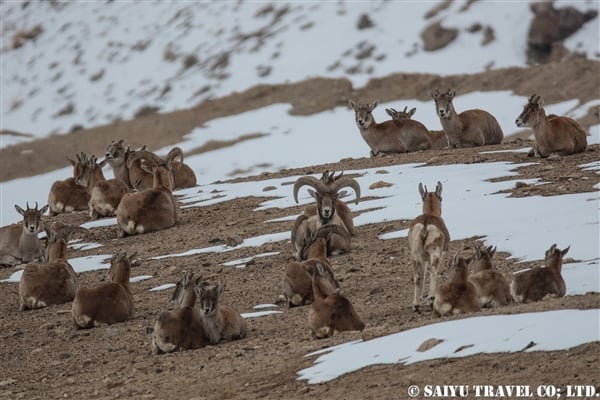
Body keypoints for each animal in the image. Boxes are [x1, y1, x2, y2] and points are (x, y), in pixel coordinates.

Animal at [408, 181, 450, 312]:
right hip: (434, 253)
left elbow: (423, 273)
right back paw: (431, 300)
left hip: (415, 256)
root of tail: (425, 225)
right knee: (433, 271)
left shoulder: (423, 259)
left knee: (417, 276)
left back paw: (416, 305)